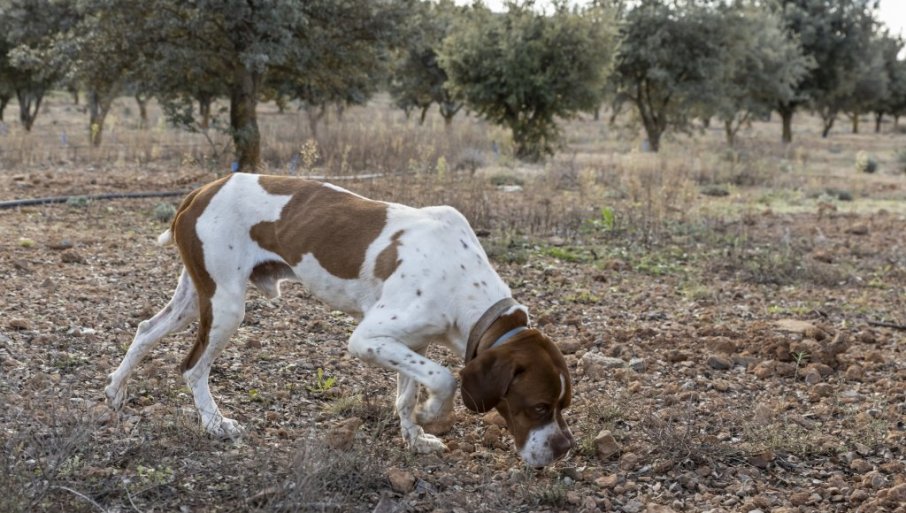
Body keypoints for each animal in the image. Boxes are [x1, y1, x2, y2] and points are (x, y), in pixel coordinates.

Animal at [105, 173, 574, 467]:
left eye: (563, 406)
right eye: (538, 406)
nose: (565, 448)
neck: (465, 286)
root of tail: (201, 191)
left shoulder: (410, 344)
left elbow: (406, 394)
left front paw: (415, 436)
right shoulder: (368, 338)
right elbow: (444, 378)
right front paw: (431, 414)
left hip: (196, 297)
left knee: (146, 330)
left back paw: (115, 390)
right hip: (226, 306)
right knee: (192, 368)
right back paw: (215, 424)